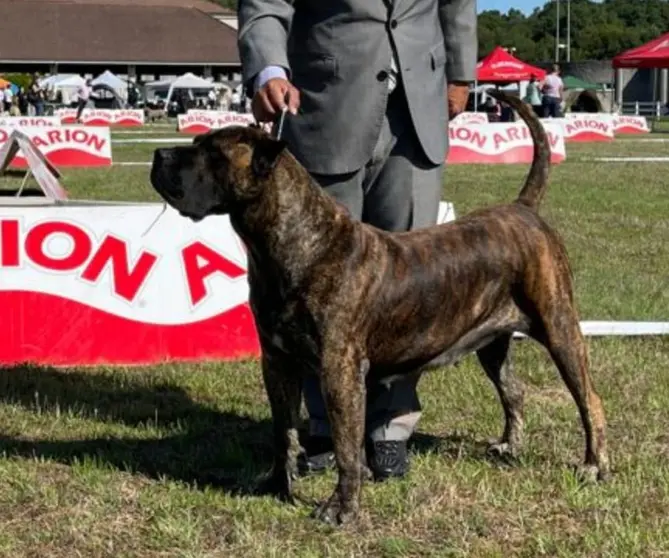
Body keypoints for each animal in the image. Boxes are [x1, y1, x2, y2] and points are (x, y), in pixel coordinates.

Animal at [149, 91, 608, 524]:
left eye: (214, 154)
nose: (159, 155)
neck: (296, 244)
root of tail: (522, 208)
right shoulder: (277, 361)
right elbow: (284, 431)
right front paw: (278, 485)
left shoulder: (340, 368)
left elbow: (347, 446)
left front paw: (342, 508)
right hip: (491, 341)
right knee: (513, 390)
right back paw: (510, 445)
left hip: (559, 327)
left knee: (590, 399)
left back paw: (593, 466)